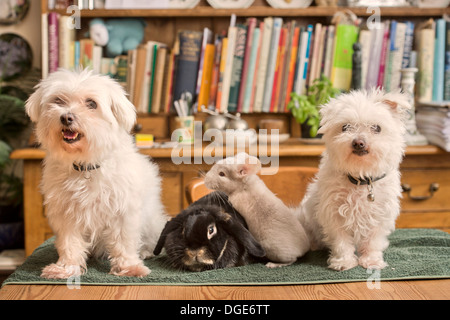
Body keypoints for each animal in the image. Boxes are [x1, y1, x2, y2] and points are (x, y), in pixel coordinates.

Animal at [25, 69, 168, 278]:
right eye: (58, 100)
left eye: (91, 103)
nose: (66, 117)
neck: (86, 164)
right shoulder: (66, 212)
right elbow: (69, 243)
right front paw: (66, 268)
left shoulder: (123, 209)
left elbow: (123, 241)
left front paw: (129, 267)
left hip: (152, 223)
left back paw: (145, 251)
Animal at [300, 89, 410, 272]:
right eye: (345, 127)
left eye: (377, 128)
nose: (358, 143)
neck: (362, 177)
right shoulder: (333, 213)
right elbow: (341, 242)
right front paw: (343, 262)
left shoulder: (380, 215)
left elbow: (373, 242)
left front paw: (372, 261)